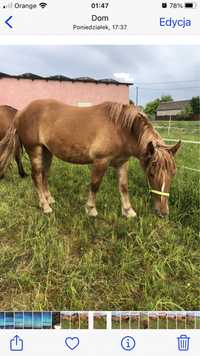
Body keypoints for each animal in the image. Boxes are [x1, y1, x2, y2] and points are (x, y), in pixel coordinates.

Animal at [0, 99, 181, 217]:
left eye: (173, 174)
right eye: (151, 173)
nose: (163, 212)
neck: (120, 129)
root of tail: (20, 112)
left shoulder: (122, 163)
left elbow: (123, 187)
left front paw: (128, 211)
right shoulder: (101, 161)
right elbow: (95, 185)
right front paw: (91, 209)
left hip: (47, 152)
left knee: (44, 175)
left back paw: (48, 199)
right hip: (35, 150)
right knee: (37, 176)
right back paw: (45, 206)